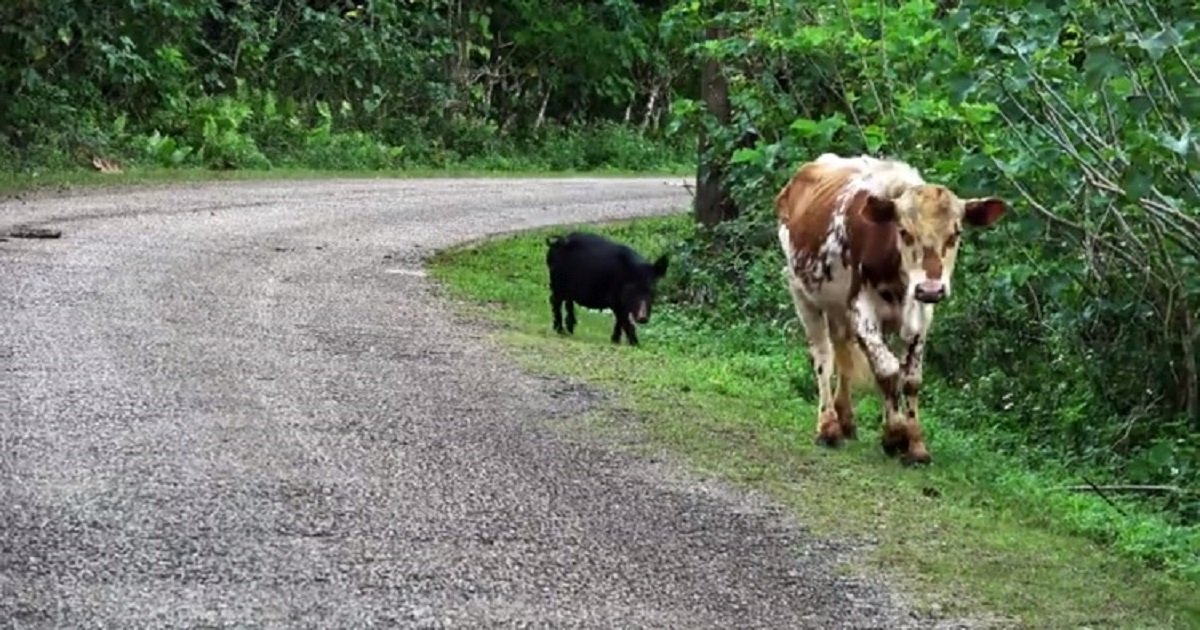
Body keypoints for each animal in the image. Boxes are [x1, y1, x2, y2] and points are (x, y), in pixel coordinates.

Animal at [772, 152, 1008, 460]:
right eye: (904, 232)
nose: (930, 288)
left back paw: (846, 419)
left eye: (955, 233)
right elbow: (888, 371)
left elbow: (911, 379)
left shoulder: (920, 314)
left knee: (843, 352)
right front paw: (895, 434)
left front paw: (915, 444)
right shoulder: (862, 310)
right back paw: (828, 426)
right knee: (823, 357)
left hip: (838, 308)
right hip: (802, 294)